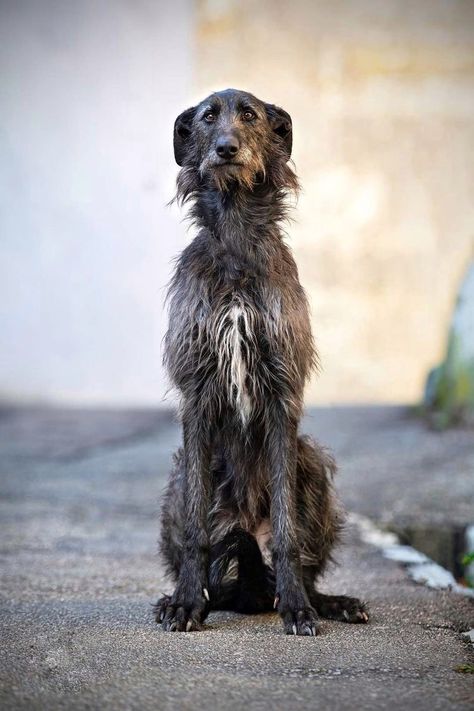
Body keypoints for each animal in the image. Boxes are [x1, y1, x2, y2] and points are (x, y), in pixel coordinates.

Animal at [154, 86, 368, 636]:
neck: (235, 238)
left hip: (310, 462)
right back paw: (184, 596)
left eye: (249, 115)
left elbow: (289, 535)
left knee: (300, 558)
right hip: (182, 472)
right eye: (208, 117)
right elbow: (195, 534)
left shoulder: (281, 393)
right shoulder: (197, 393)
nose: (226, 148)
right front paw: (186, 603)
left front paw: (297, 608)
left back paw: (326, 600)